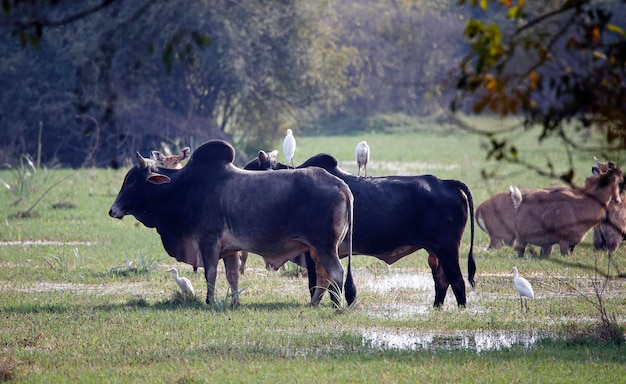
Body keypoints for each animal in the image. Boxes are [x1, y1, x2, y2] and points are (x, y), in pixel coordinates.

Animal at [109, 140, 354, 308]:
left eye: (131, 180)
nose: (112, 210)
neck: (183, 188)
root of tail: (339, 183)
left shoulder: (208, 241)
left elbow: (210, 273)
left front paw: (210, 301)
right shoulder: (230, 249)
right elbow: (233, 276)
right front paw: (235, 302)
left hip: (325, 246)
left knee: (336, 273)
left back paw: (338, 305)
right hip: (316, 249)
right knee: (323, 276)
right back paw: (314, 303)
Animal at [243, 152, 472, 308]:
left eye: (251, 170)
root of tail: (445, 183)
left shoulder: (312, 252)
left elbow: (316, 283)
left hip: (447, 249)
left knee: (457, 281)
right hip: (435, 253)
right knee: (441, 281)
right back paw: (436, 308)